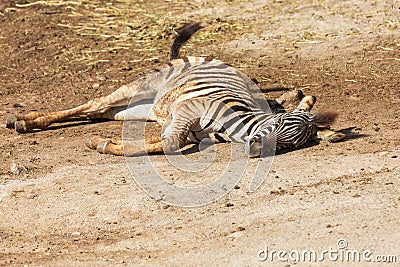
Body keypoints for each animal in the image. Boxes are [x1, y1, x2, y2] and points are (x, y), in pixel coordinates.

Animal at [4, 23, 346, 158]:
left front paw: (106, 143)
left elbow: (164, 144)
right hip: (144, 85)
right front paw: (103, 145)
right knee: (90, 104)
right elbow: (170, 144)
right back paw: (22, 122)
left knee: (97, 113)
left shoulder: (188, 129)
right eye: (277, 124)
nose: (257, 149)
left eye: (290, 144)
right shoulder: (187, 110)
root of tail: (213, 57)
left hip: (137, 109)